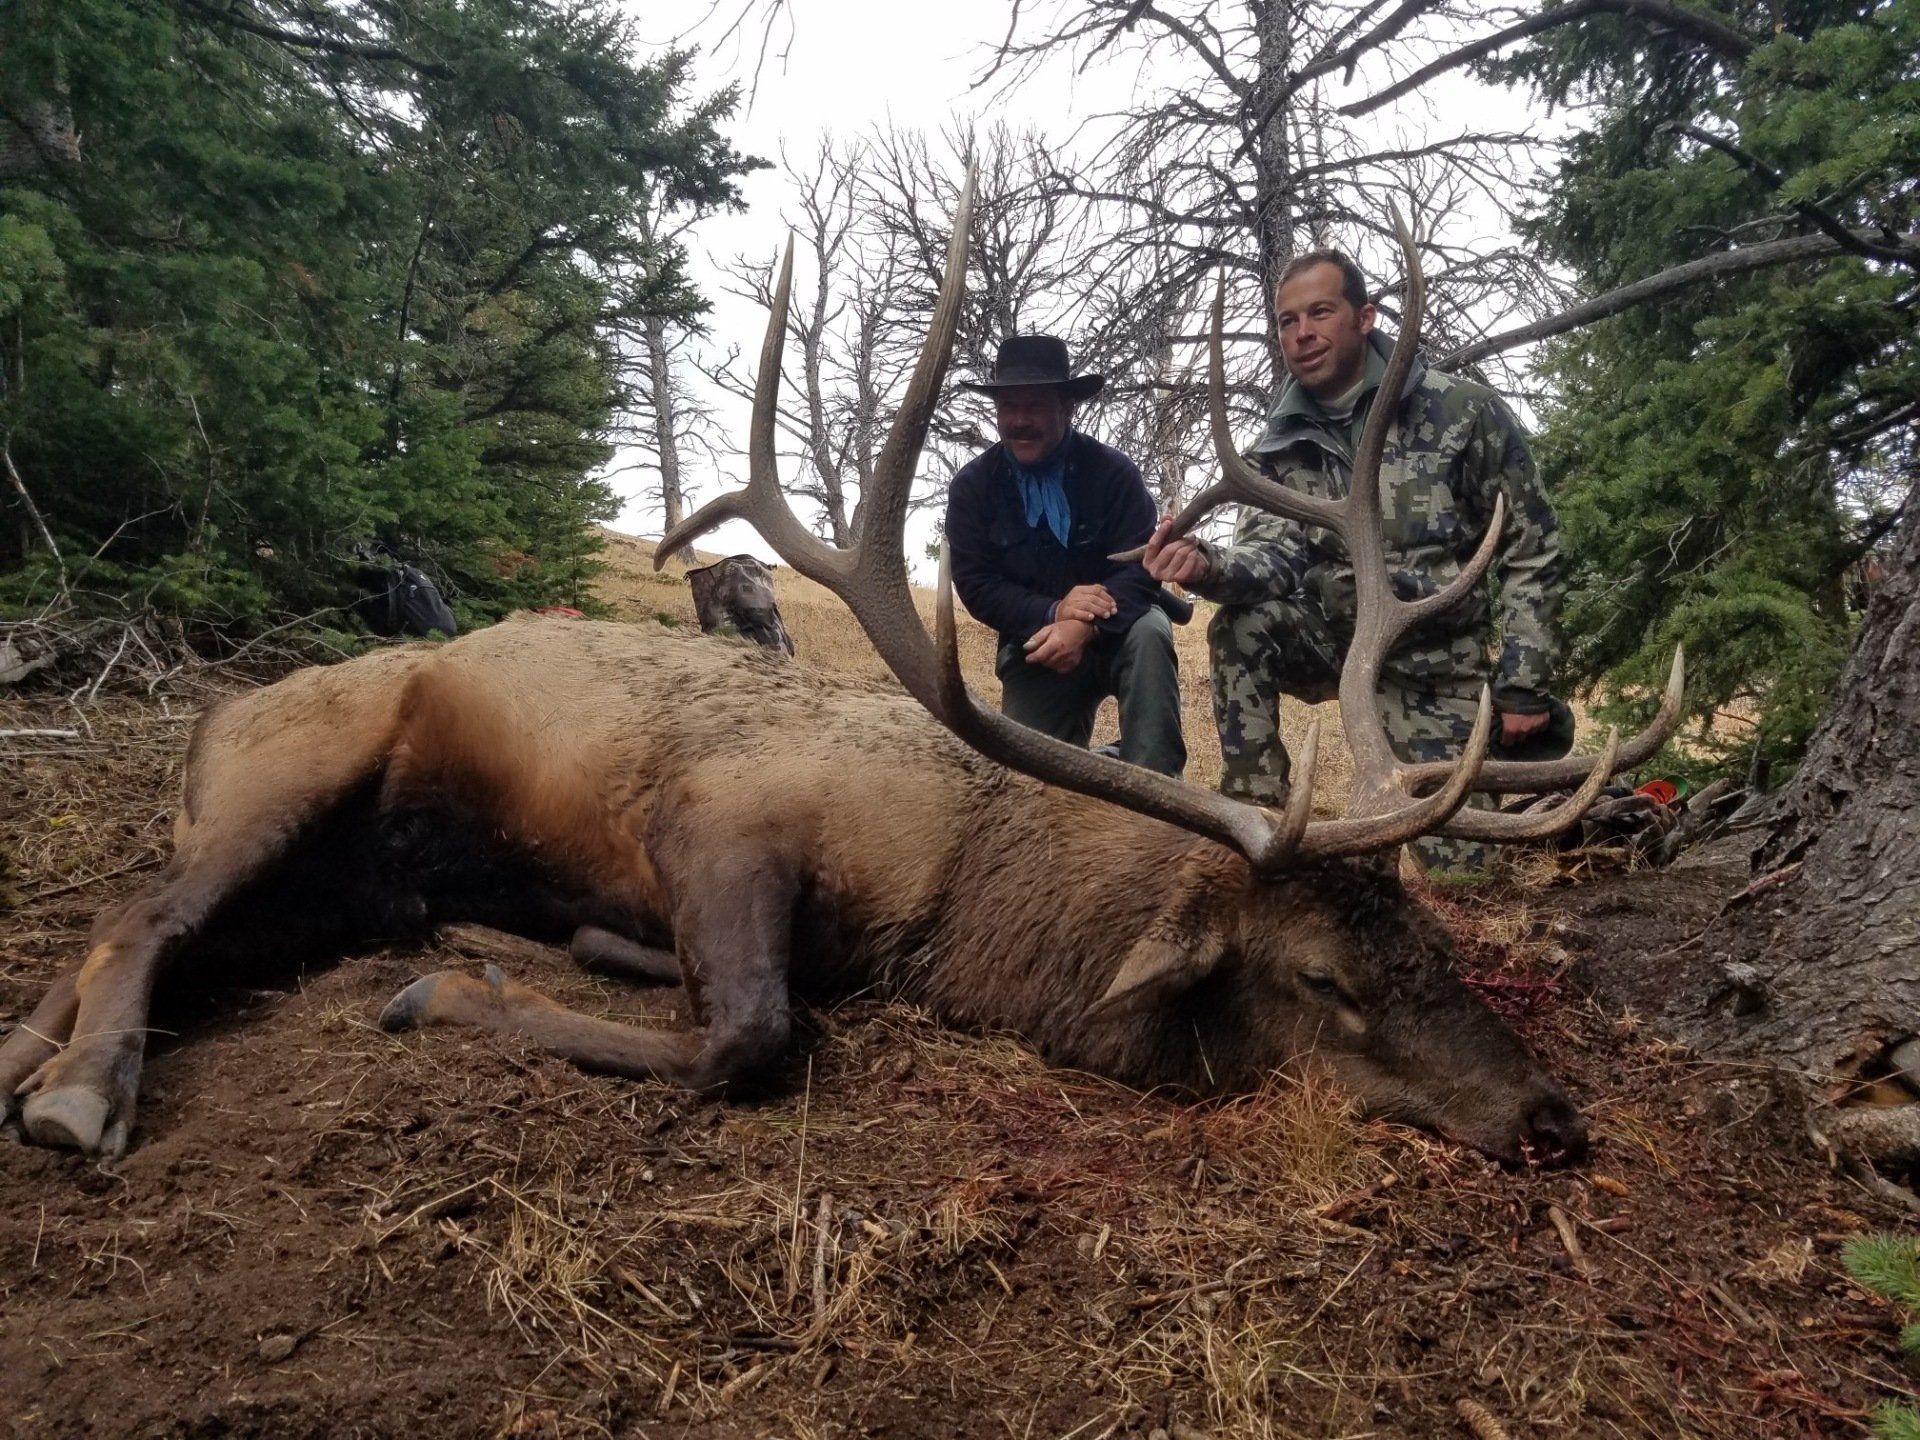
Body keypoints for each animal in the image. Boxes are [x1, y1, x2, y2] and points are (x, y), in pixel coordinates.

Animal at [0, 178, 1681, 1168]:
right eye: (1325, 978)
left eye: (1429, 943)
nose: (1550, 1114)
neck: (959, 900)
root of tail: (217, 715)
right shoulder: (723, 819)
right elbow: (751, 1031)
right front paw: (450, 995)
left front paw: (571, 952)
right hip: (306, 758)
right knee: (145, 910)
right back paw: (80, 1095)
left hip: (349, 869)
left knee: (130, 923)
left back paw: (33, 1057)